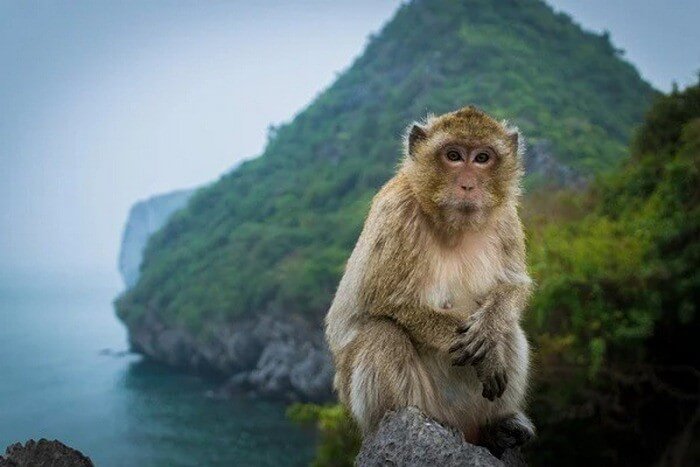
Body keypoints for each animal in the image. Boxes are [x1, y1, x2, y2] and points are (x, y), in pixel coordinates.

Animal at [326, 106, 532, 458]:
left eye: (482, 158)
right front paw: (487, 356)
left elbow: (513, 287)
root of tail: (464, 427)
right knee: (382, 333)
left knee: (510, 327)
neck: (454, 227)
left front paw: (490, 329)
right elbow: (385, 302)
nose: (468, 185)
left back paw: (496, 427)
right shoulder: (396, 213)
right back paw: (406, 421)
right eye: (453, 156)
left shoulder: (507, 217)